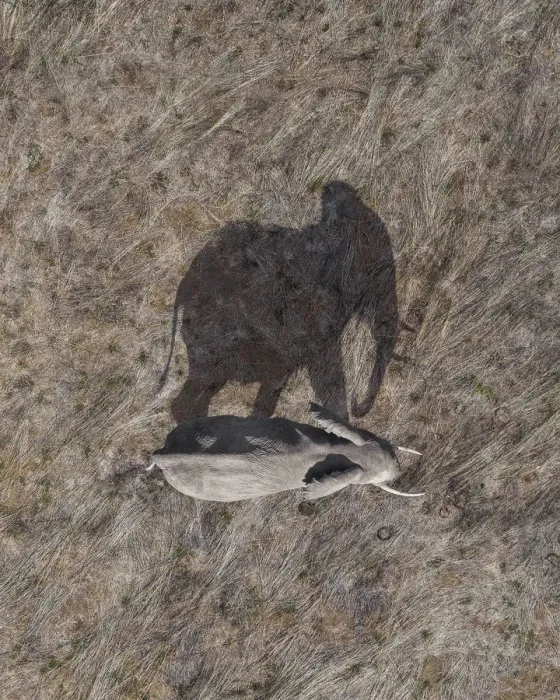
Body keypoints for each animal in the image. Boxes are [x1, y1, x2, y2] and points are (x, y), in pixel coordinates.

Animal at [160, 181, 398, 422]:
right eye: (379, 270)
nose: (357, 401)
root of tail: (183, 287)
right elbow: (324, 368)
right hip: (212, 328)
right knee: (204, 382)